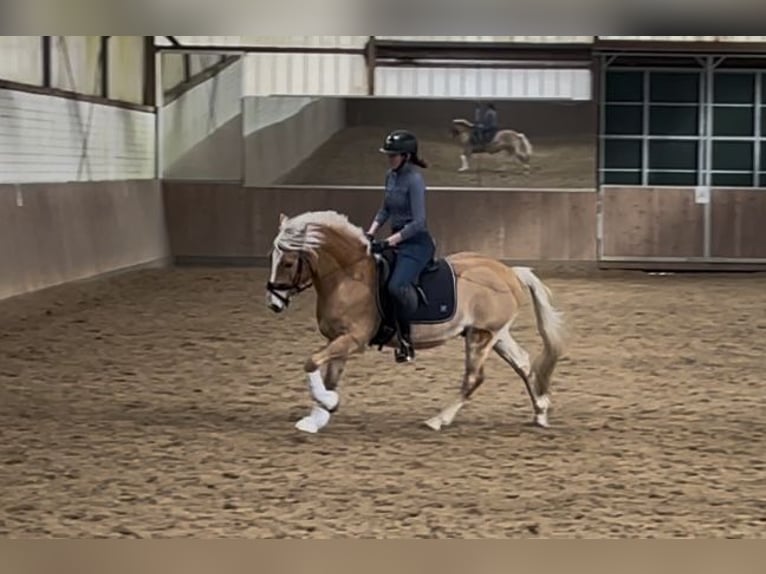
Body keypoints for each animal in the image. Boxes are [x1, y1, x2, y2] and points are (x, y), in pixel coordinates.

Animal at [266, 210, 565, 434]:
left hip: (480, 336)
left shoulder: (353, 340)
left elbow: (311, 362)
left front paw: (327, 404)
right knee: (522, 363)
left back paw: (438, 420)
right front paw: (318, 417)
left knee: (474, 378)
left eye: (289, 263)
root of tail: (510, 273)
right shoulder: (338, 340)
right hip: (495, 334)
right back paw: (540, 411)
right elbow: (329, 377)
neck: (349, 277)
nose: (274, 303)